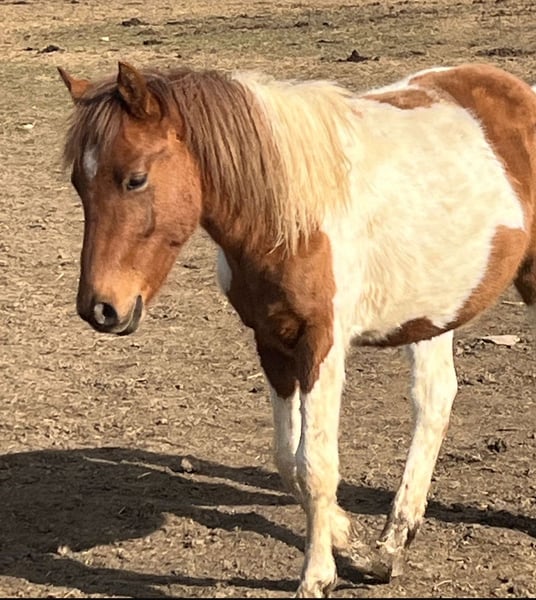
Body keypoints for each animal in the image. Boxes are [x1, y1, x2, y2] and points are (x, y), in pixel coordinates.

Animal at [57, 60, 536, 597]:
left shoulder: (321, 346)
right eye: (79, 183)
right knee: (434, 400)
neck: (291, 219)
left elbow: (317, 464)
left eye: (135, 179)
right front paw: (354, 545)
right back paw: (394, 539)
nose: (100, 308)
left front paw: (316, 576)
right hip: (432, 310)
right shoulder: (272, 342)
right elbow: (289, 461)